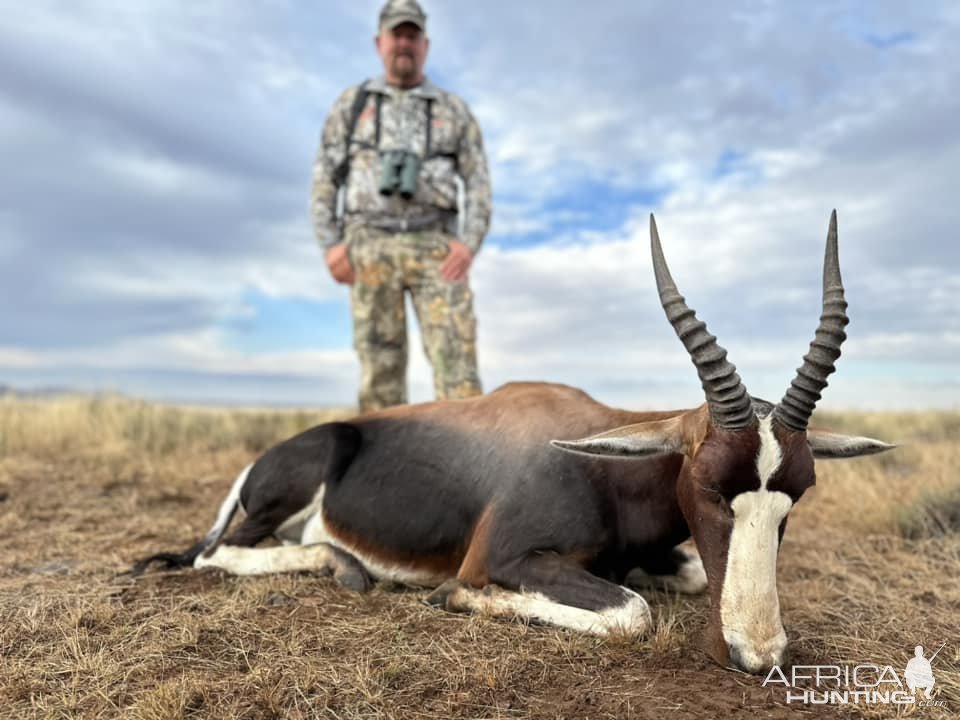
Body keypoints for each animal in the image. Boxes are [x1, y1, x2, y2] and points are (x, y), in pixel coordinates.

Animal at [137, 212, 892, 676]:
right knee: (217, 554)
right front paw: (454, 599)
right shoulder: (504, 558)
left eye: (800, 491)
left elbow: (682, 577)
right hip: (283, 496)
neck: (600, 468)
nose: (756, 656)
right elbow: (631, 612)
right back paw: (344, 567)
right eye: (709, 483)